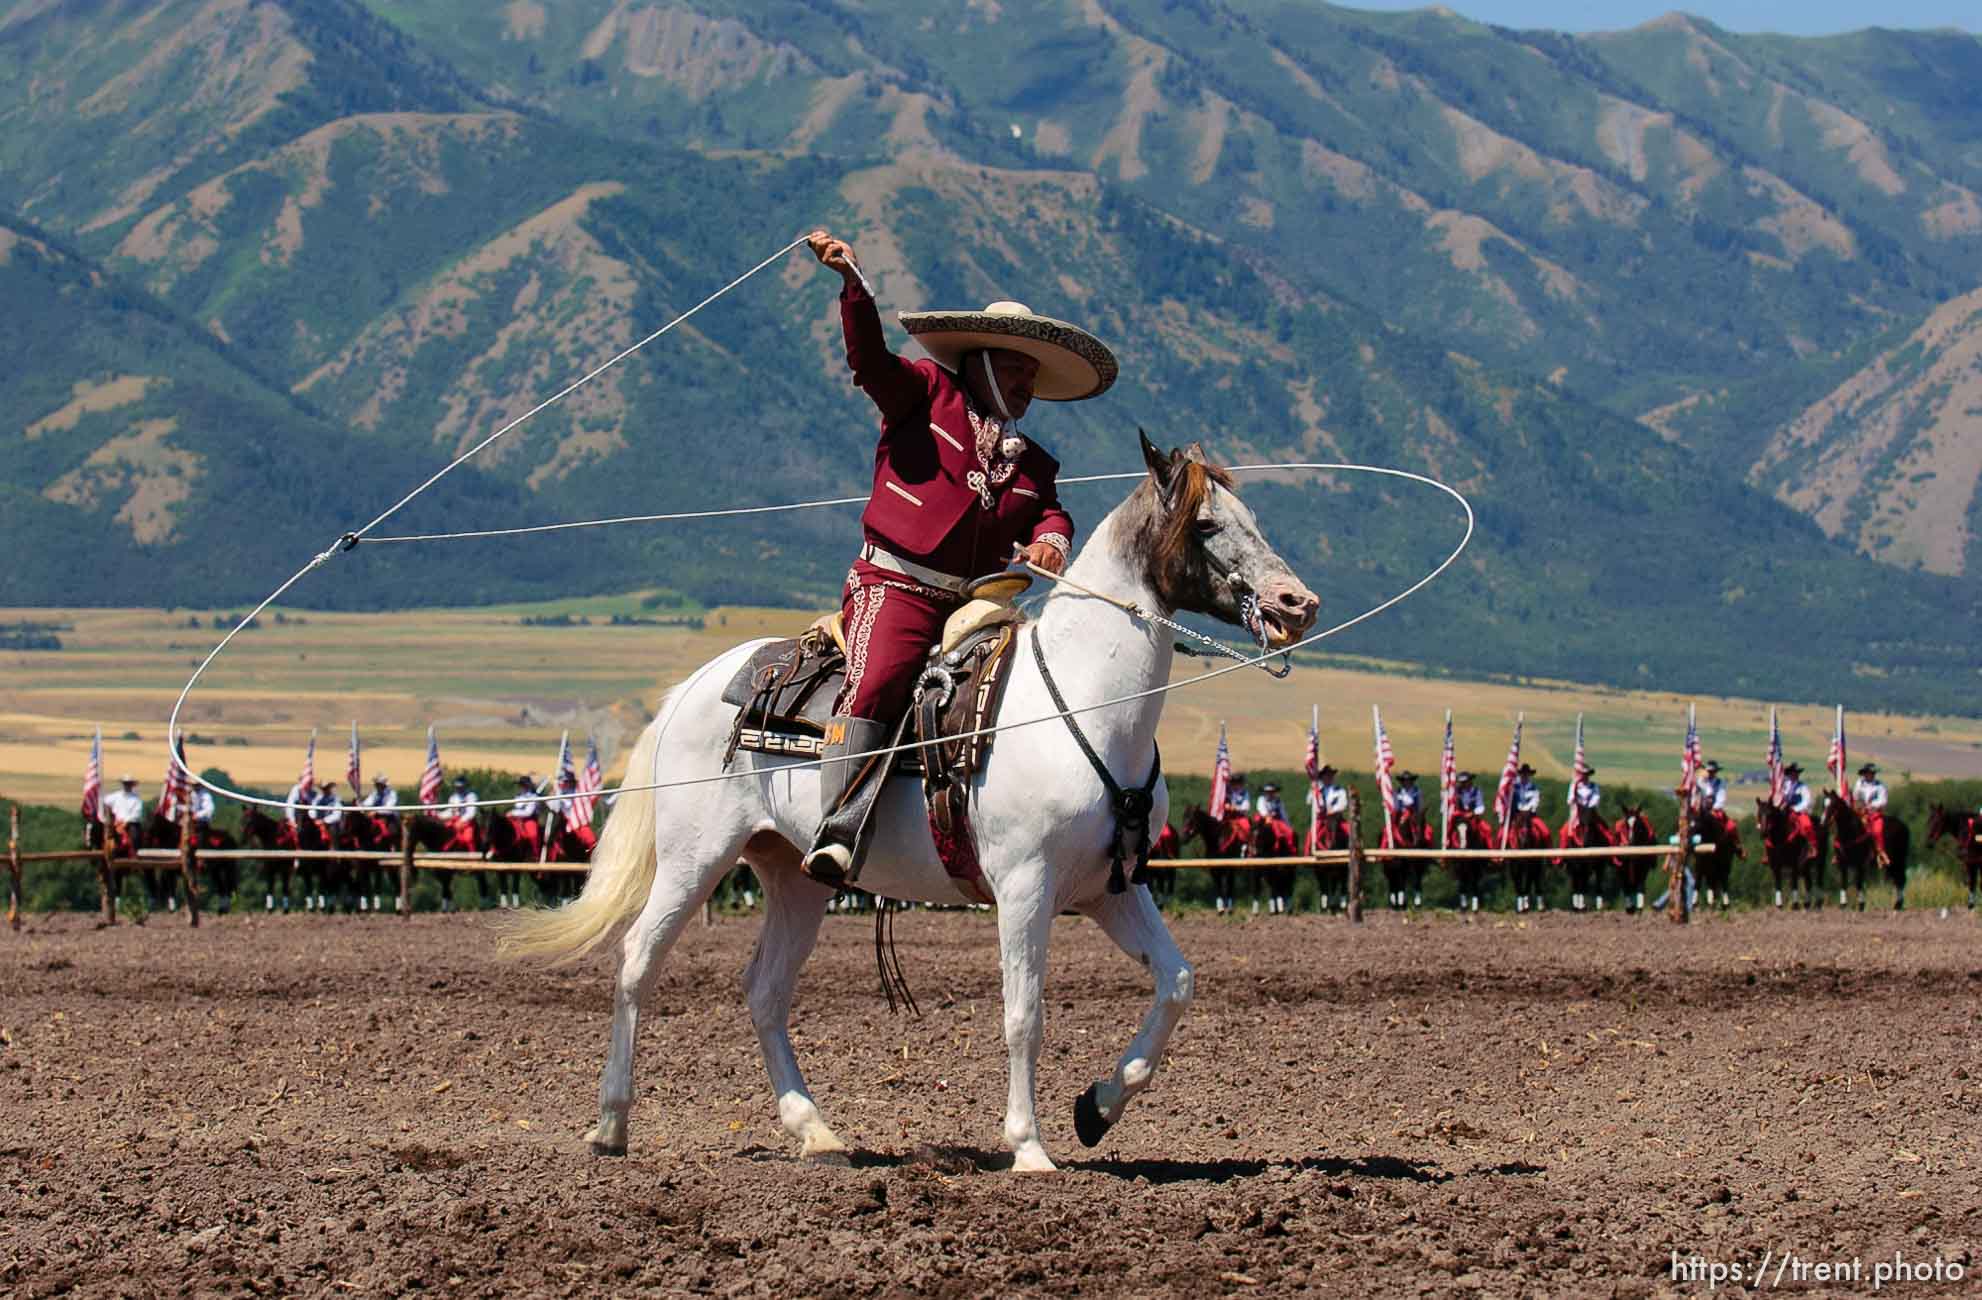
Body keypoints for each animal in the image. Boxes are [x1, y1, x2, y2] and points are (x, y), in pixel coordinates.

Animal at [503, 433, 1323, 1165]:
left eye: (1254, 518)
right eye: (1207, 525)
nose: (1298, 602)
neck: (1084, 703)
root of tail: (699, 687)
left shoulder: (1110, 887)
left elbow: (1177, 983)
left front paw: (1096, 1108)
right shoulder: (1025, 887)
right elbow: (1024, 1014)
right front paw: (1029, 1146)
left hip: (796, 877)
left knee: (764, 991)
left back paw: (816, 1132)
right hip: (693, 858)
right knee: (638, 961)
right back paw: (611, 1125)